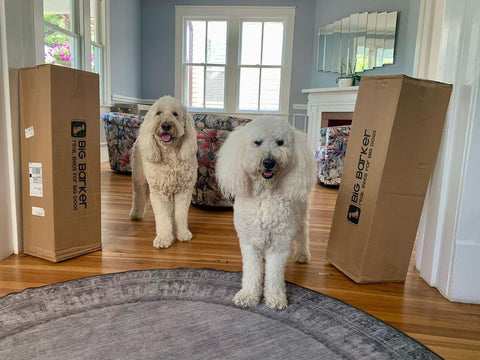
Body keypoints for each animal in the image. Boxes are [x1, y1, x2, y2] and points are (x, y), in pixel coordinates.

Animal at [129, 95, 197, 249]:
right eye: (158, 113)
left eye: (175, 114)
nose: (166, 125)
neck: (170, 153)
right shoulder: (159, 192)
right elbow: (162, 217)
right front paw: (163, 238)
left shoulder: (183, 191)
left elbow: (180, 214)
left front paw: (182, 233)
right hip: (139, 178)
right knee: (138, 195)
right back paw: (136, 214)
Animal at [217, 116, 316, 310]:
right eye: (257, 142)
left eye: (280, 142)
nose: (269, 162)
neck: (264, 195)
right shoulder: (249, 243)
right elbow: (252, 272)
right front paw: (248, 295)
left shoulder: (279, 243)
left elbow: (274, 275)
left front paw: (275, 298)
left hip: (300, 218)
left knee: (303, 235)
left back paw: (302, 254)